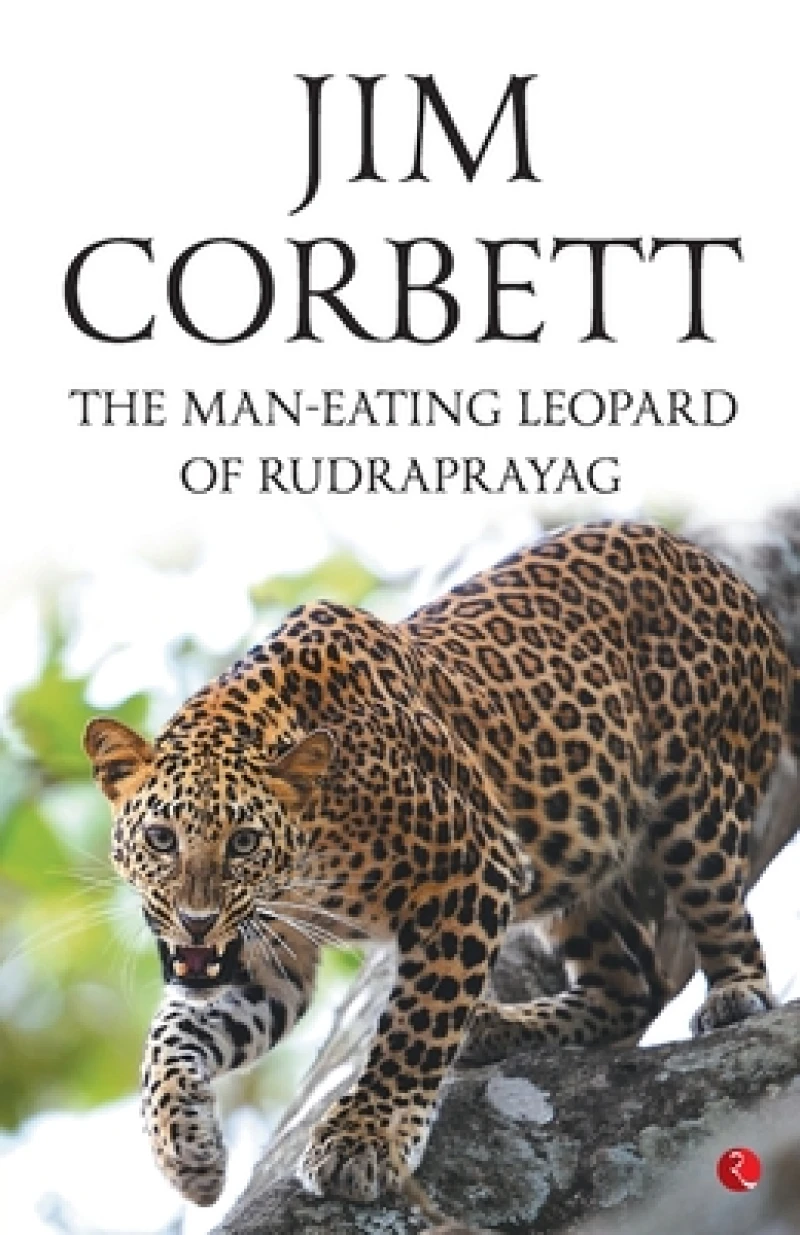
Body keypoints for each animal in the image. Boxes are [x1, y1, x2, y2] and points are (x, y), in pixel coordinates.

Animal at [83, 520, 799, 1208]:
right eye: (161, 838)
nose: (197, 921)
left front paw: (365, 1137)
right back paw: (501, 1027)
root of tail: (723, 573)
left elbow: (418, 1021)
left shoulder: (472, 867)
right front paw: (184, 1149)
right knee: (633, 985)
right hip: (580, 863)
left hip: (695, 806)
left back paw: (734, 994)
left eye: (244, 842)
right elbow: (171, 1037)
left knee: (720, 918)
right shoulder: (269, 952)